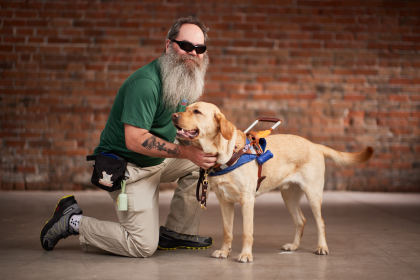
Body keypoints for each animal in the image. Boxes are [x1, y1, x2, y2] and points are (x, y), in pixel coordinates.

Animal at [172, 101, 376, 262]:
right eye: (186, 108)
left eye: (197, 111)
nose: (174, 115)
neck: (227, 154)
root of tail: (315, 145)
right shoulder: (225, 202)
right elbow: (227, 231)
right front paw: (224, 251)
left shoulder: (247, 201)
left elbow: (247, 232)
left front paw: (246, 255)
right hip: (289, 196)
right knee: (301, 220)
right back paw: (293, 246)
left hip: (313, 194)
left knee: (321, 222)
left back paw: (322, 247)